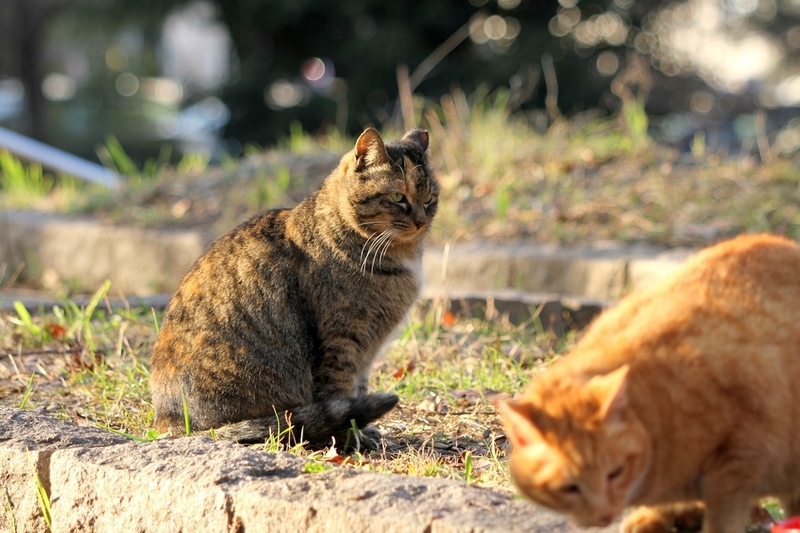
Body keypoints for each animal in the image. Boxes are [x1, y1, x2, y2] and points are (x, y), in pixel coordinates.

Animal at [150, 127, 438, 446]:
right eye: (398, 196)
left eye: (429, 199)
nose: (421, 222)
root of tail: (167, 420)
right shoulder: (341, 341)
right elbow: (340, 394)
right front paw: (352, 437)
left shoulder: (365, 352)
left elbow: (357, 390)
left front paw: (363, 431)